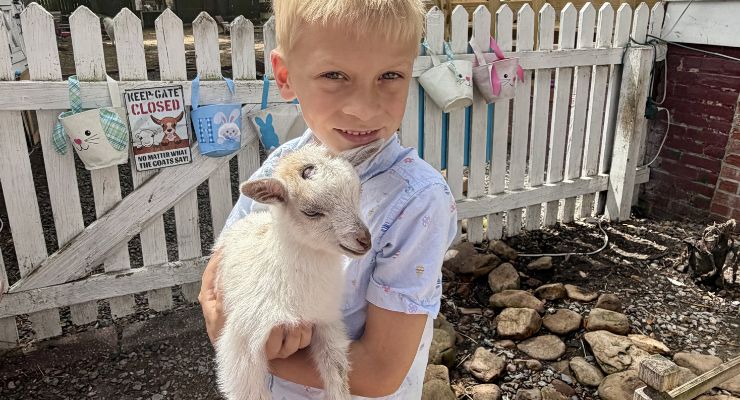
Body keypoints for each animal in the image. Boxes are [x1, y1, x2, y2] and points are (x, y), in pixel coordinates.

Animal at [214, 141, 382, 400]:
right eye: (311, 212)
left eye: (358, 192)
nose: (364, 240)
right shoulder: (243, 343)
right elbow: (250, 391)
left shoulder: (326, 324)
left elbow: (338, 375)